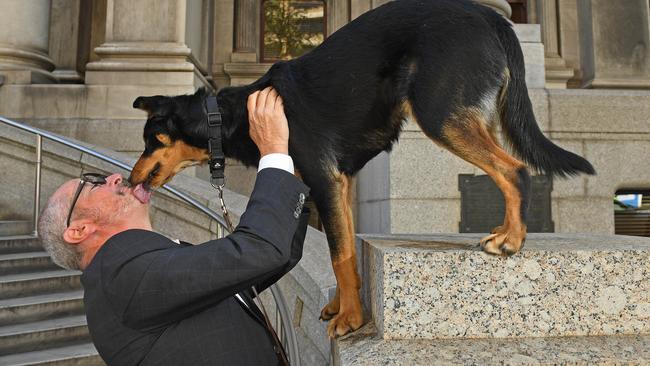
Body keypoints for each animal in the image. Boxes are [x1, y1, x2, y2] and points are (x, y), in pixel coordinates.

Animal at [125, 0, 592, 338]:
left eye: (150, 140)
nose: (129, 179)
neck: (228, 114)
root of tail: (489, 14)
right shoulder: (335, 185)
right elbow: (345, 253)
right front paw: (345, 307)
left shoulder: (325, 182)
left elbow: (340, 253)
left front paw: (349, 319)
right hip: (469, 117)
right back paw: (505, 229)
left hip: (441, 115)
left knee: (514, 169)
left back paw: (511, 239)